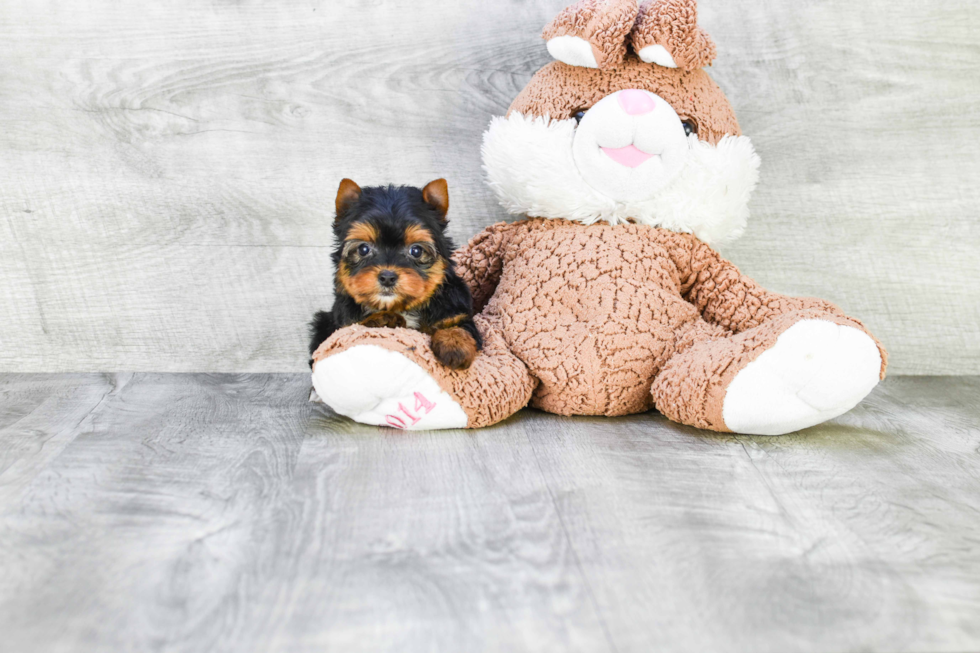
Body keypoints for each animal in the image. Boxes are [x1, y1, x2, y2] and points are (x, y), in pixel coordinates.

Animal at [310, 178, 482, 370]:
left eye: (416, 251)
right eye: (363, 249)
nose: (387, 277)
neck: (400, 307)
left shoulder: (453, 308)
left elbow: (458, 325)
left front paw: (454, 345)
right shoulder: (344, 324)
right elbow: (357, 327)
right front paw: (383, 319)